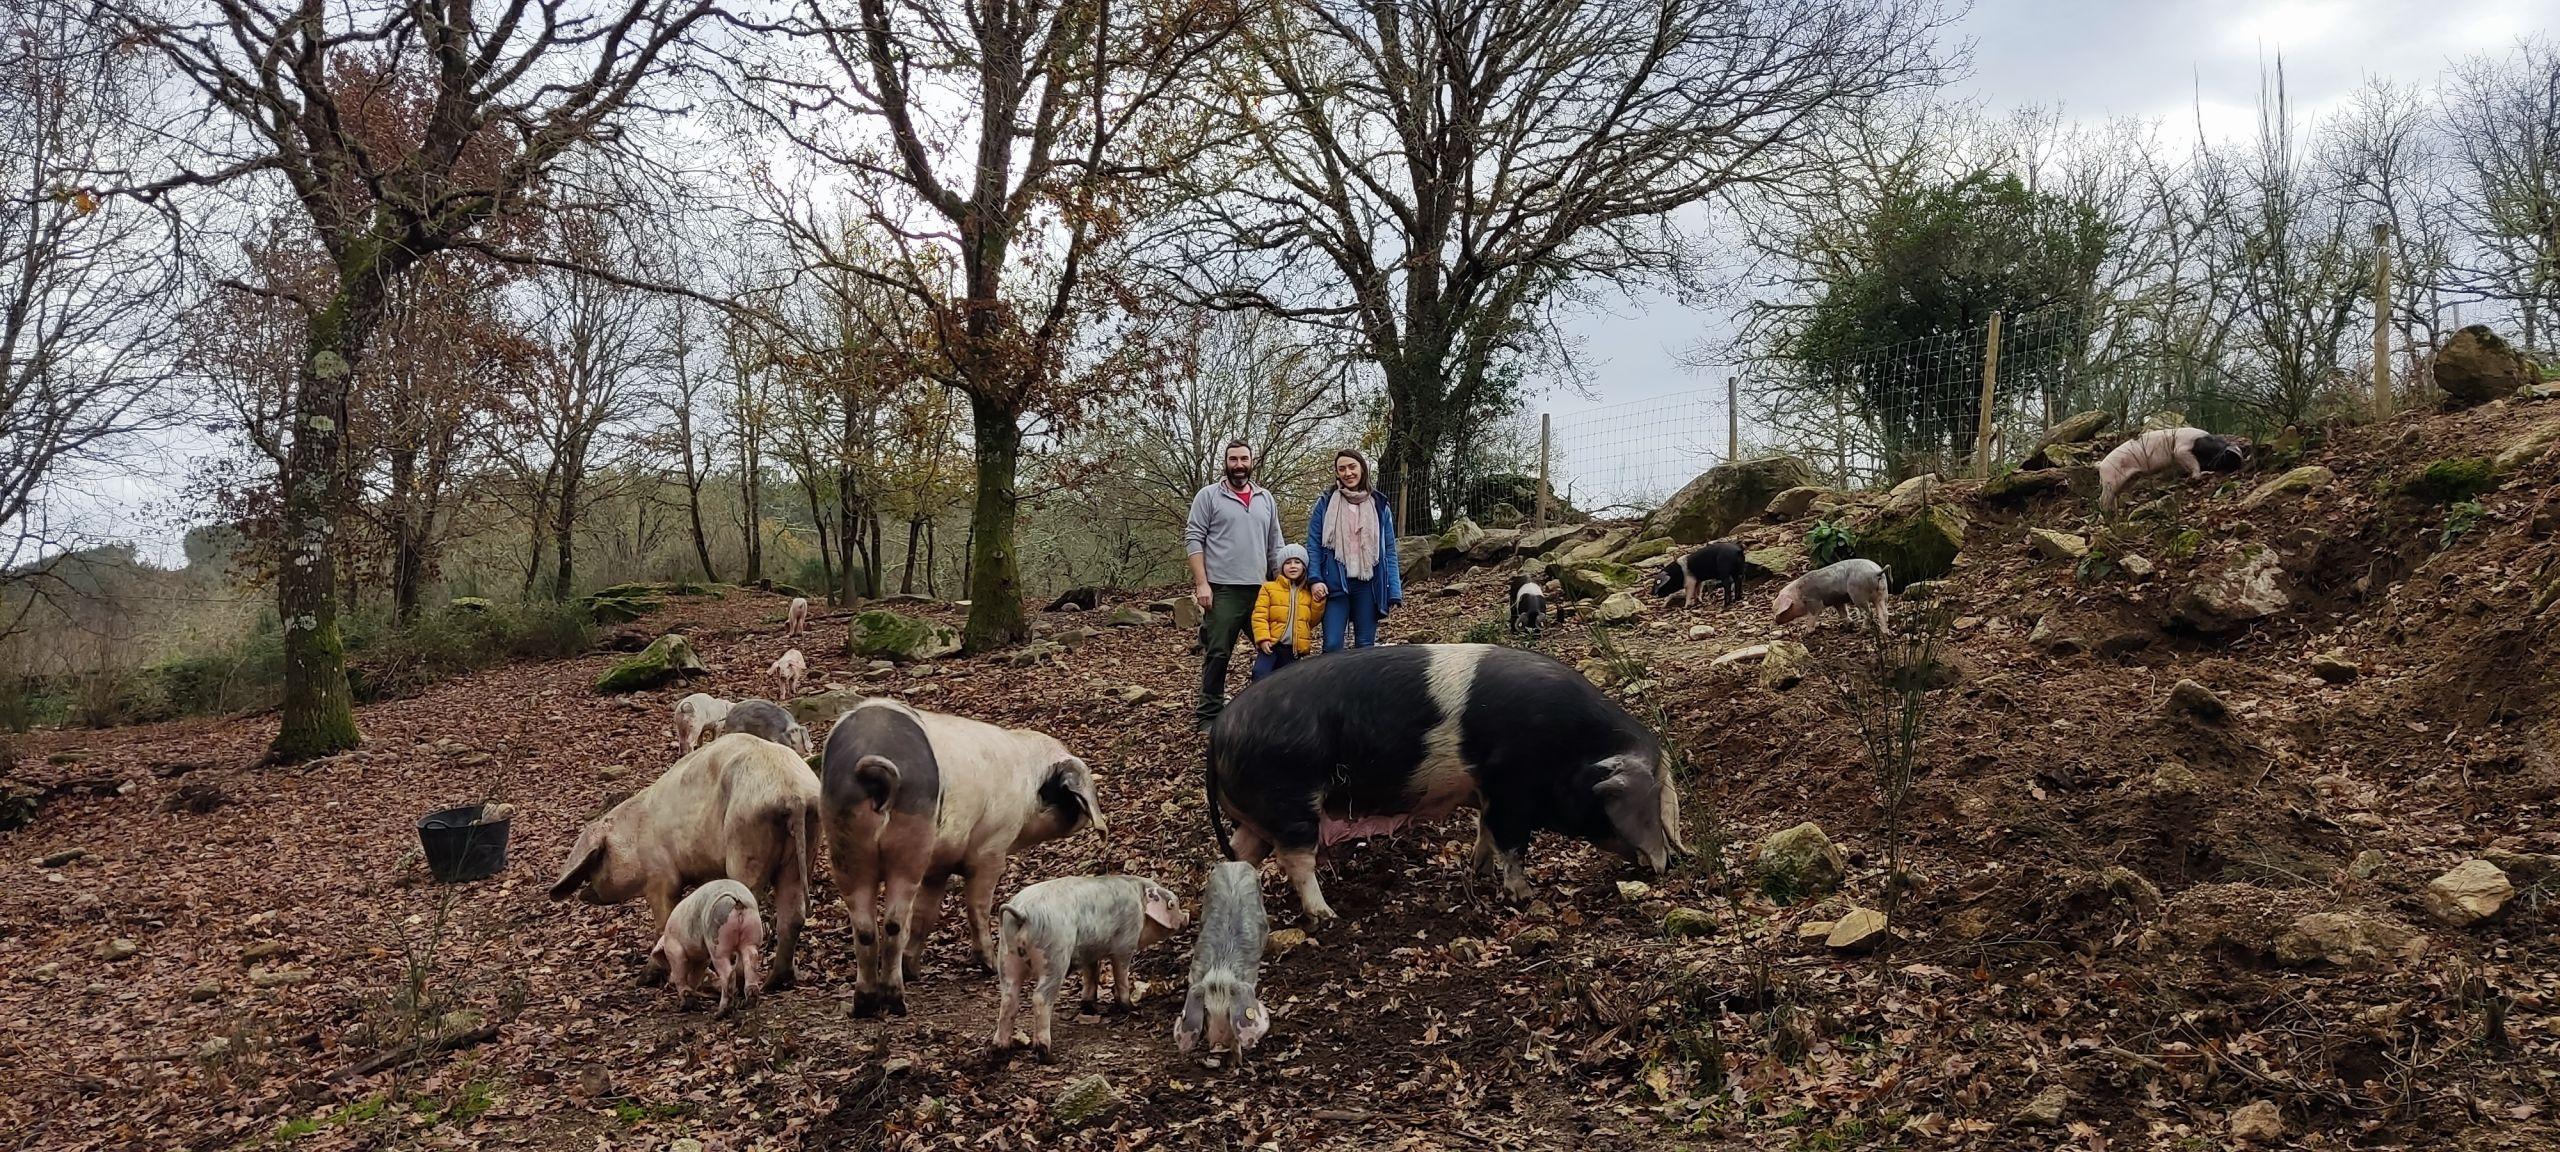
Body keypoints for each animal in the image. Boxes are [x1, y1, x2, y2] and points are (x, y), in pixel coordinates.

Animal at [1208, 642, 1689, 921]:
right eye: (1645, 806)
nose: (1665, 864)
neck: (1571, 748)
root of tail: (1219, 732)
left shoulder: (1488, 793)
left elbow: (1485, 833)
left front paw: (1477, 872)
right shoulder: (1511, 787)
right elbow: (1512, 843)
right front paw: (1524, 895)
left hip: (1257, 816)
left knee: (1242, 855)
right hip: (1289, 802)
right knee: (1296, 862)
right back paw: (1326, 915)